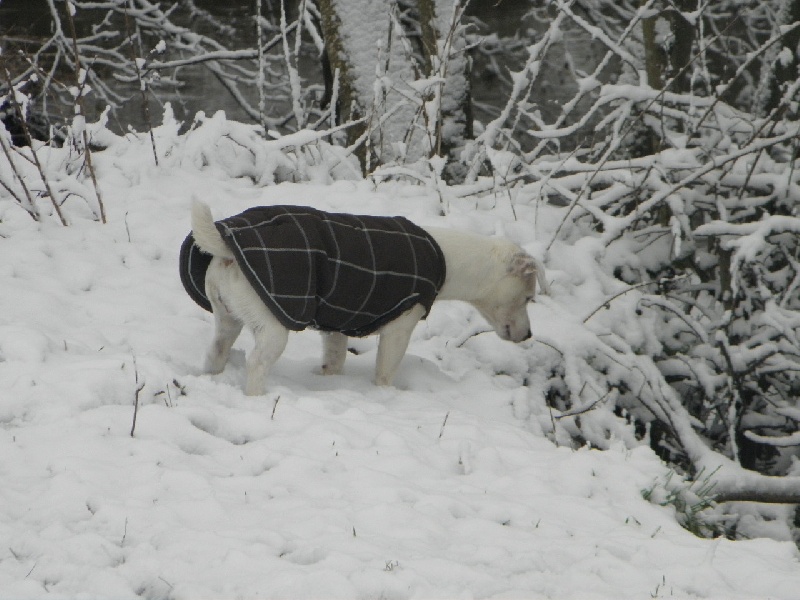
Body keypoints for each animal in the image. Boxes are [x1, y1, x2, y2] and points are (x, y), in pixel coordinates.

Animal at [188, 202, 548, 396]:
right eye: (529, 297)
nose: (529, 334)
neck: (447, 258)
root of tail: (226, 247)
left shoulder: (335, 327)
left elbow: (334, 362)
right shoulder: (399, 329)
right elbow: (385, 373)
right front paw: (386, 395)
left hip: (227, 319)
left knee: (217, 350)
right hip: (273, 328)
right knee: (256, 364)